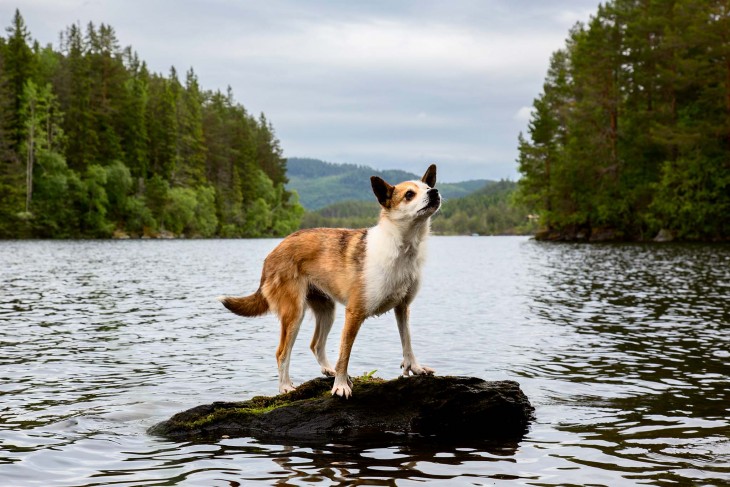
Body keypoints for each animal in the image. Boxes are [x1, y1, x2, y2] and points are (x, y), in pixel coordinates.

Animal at [219, 166, 440, 398]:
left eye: (427, 187)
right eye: (409, 194)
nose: (434, 192)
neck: (401, 247)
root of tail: (272, 253)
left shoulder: (402, 307)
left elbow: (407, 343)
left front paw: (415, 368)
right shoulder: (354, 312)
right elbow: (345, 353)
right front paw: (340, 385)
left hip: (326, 310)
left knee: (316, 344)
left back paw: (328, 370)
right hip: (294, 313)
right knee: (282, 352)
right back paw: (286, 386)